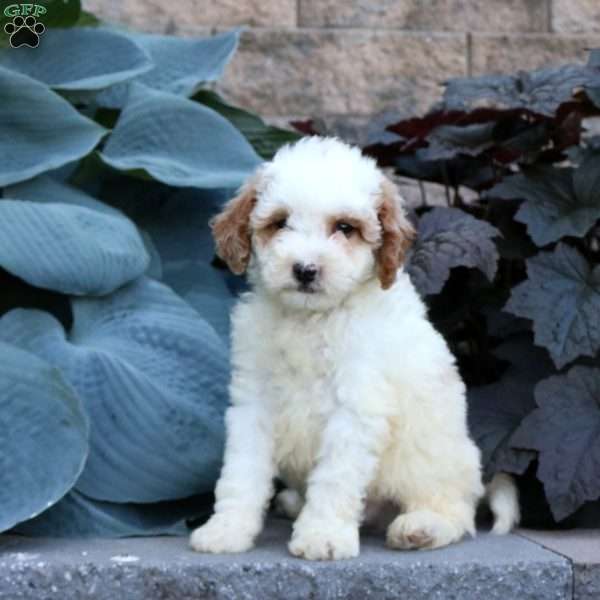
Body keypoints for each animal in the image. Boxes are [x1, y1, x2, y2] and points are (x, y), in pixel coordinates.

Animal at [190, 136, 516, 556]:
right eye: (280, 222)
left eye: (345, 228)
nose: (305, 269)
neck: (312, 319)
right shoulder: (254, 403)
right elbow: (241, 472)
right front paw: (227, 529)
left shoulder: (355, 407)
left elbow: (334, 478)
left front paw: (322, 535)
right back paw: (292, 503)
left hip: (434, 460)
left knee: (455, 509)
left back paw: (422, 527)